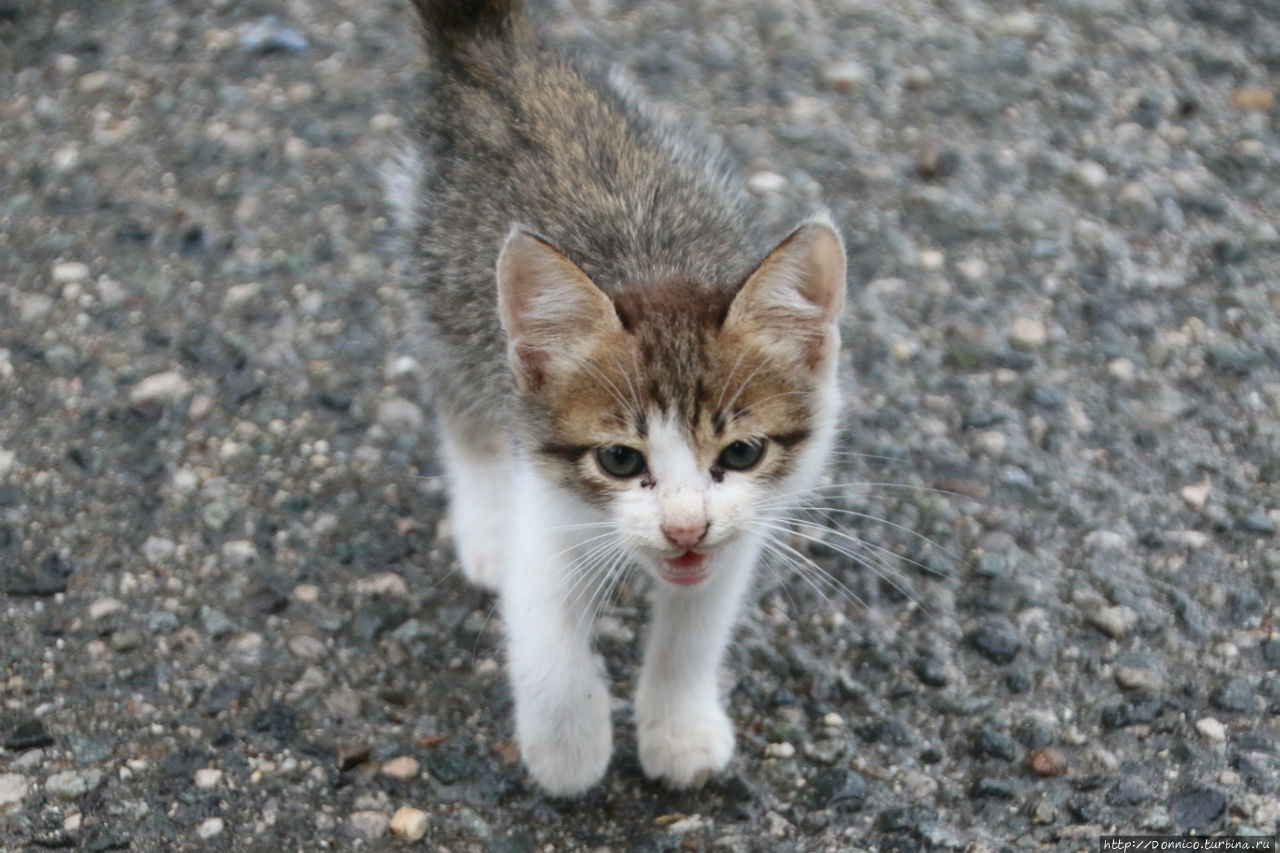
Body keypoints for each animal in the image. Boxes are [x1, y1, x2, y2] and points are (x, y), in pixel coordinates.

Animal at [394, 1, 844, 799]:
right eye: (619, 460)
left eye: (741, 451)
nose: (685, 528)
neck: (653, 265)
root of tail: (497, 58)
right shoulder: (545, 496)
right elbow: (544, 634)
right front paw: (568, 747)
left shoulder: (738, 533)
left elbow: (696, 628)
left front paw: (679, 729)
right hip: (442, 285)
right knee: (461, 404)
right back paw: (482, 527)